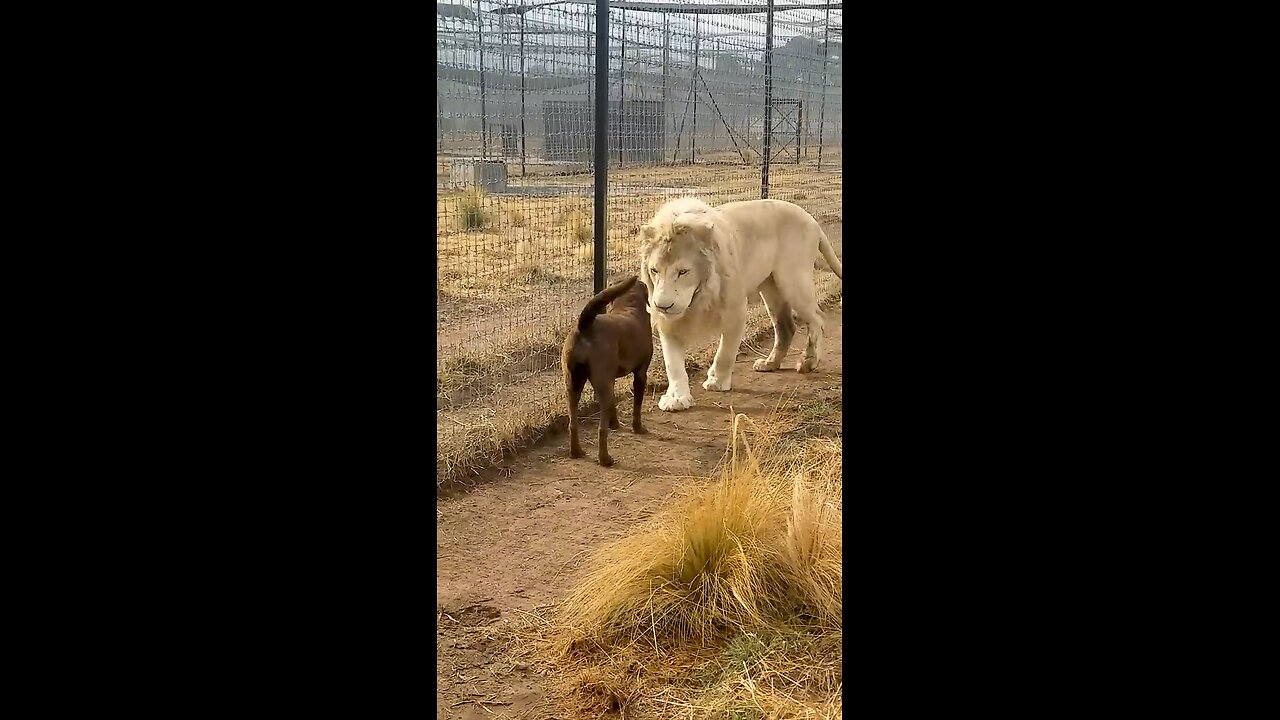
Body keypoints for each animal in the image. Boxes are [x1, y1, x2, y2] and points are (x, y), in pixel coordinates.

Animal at [565, 271, 655, 461]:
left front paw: (615, 423)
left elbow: (613, 402)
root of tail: (585, 326)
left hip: (573, 383)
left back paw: (576, 452)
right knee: (601, 429)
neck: (628, 304)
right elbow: (637, 406)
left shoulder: (611, 379)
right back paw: (605, 459)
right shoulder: (641, 373)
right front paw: (638, 428)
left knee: (573, 423)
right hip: (600, 383)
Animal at [637, 196, 839, 412]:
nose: (662, 306)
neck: (699, 297)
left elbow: (725, 352)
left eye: (683, 271)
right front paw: (676, 397)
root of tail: (811, 219)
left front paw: (717, 381)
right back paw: (770, 364)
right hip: (770, 286)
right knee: (786, 326)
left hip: (793, 280)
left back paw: (808, 362)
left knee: (817, 318)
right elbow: (672, 363)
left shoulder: (735, 311)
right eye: (654, 270)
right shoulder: (668, 323)